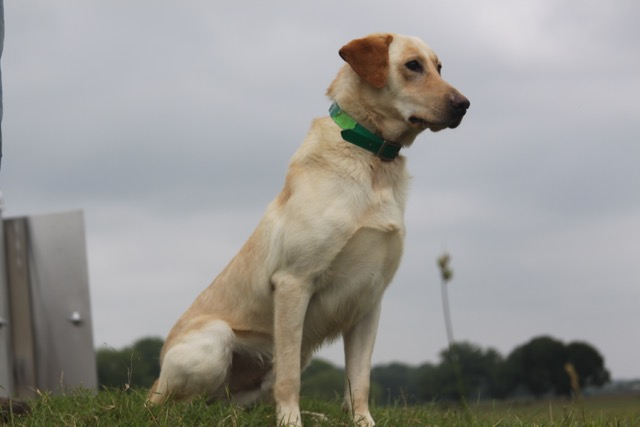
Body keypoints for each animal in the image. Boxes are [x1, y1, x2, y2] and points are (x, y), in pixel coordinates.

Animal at [150, 31, 470, 426]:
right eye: (413, 65)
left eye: (439, 67)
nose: (464, 105)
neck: (372, 158)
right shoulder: (293, 283)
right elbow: (290, 379)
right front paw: (291, 421)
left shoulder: (370, 300)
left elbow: (359, 380)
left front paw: (363, 422)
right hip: (215, 341)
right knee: (180, 405)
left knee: (234, 404)